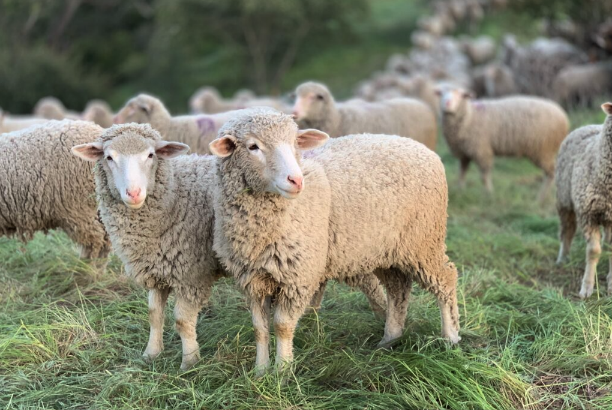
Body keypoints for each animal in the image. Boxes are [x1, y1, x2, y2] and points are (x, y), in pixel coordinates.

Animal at [210, 107, 460, 374]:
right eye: (253, 146)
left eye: (295, 142)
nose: (296, 180)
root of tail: (423, 149)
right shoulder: (252, 279)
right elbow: (260, 328)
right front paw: (260, 371)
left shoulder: (298, 276)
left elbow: (282, 326)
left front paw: (282, 371)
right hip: (387, 249)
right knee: (398, 289)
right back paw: (390, 338)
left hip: (424, 241)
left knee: (445, 279)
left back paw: (450, 337)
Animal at [436, 88, 568, 202]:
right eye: (441, 94)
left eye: (461, 95)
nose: (447, 103)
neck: (470, 115)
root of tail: (563, 116)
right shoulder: (464, 153)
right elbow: (462, 173)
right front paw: (460, 191)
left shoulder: (482, 150)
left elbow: (484, 175)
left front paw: (488, 194)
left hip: (543, 150)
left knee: (551, 173)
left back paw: (540, 198)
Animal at [556, 102, 612, 298]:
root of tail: (588, 125)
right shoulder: (587, 214)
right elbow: (593, 251)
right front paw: (586, 288)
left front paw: (611, 283)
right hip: (564, 201)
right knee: (567, 231)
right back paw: (563, 259)